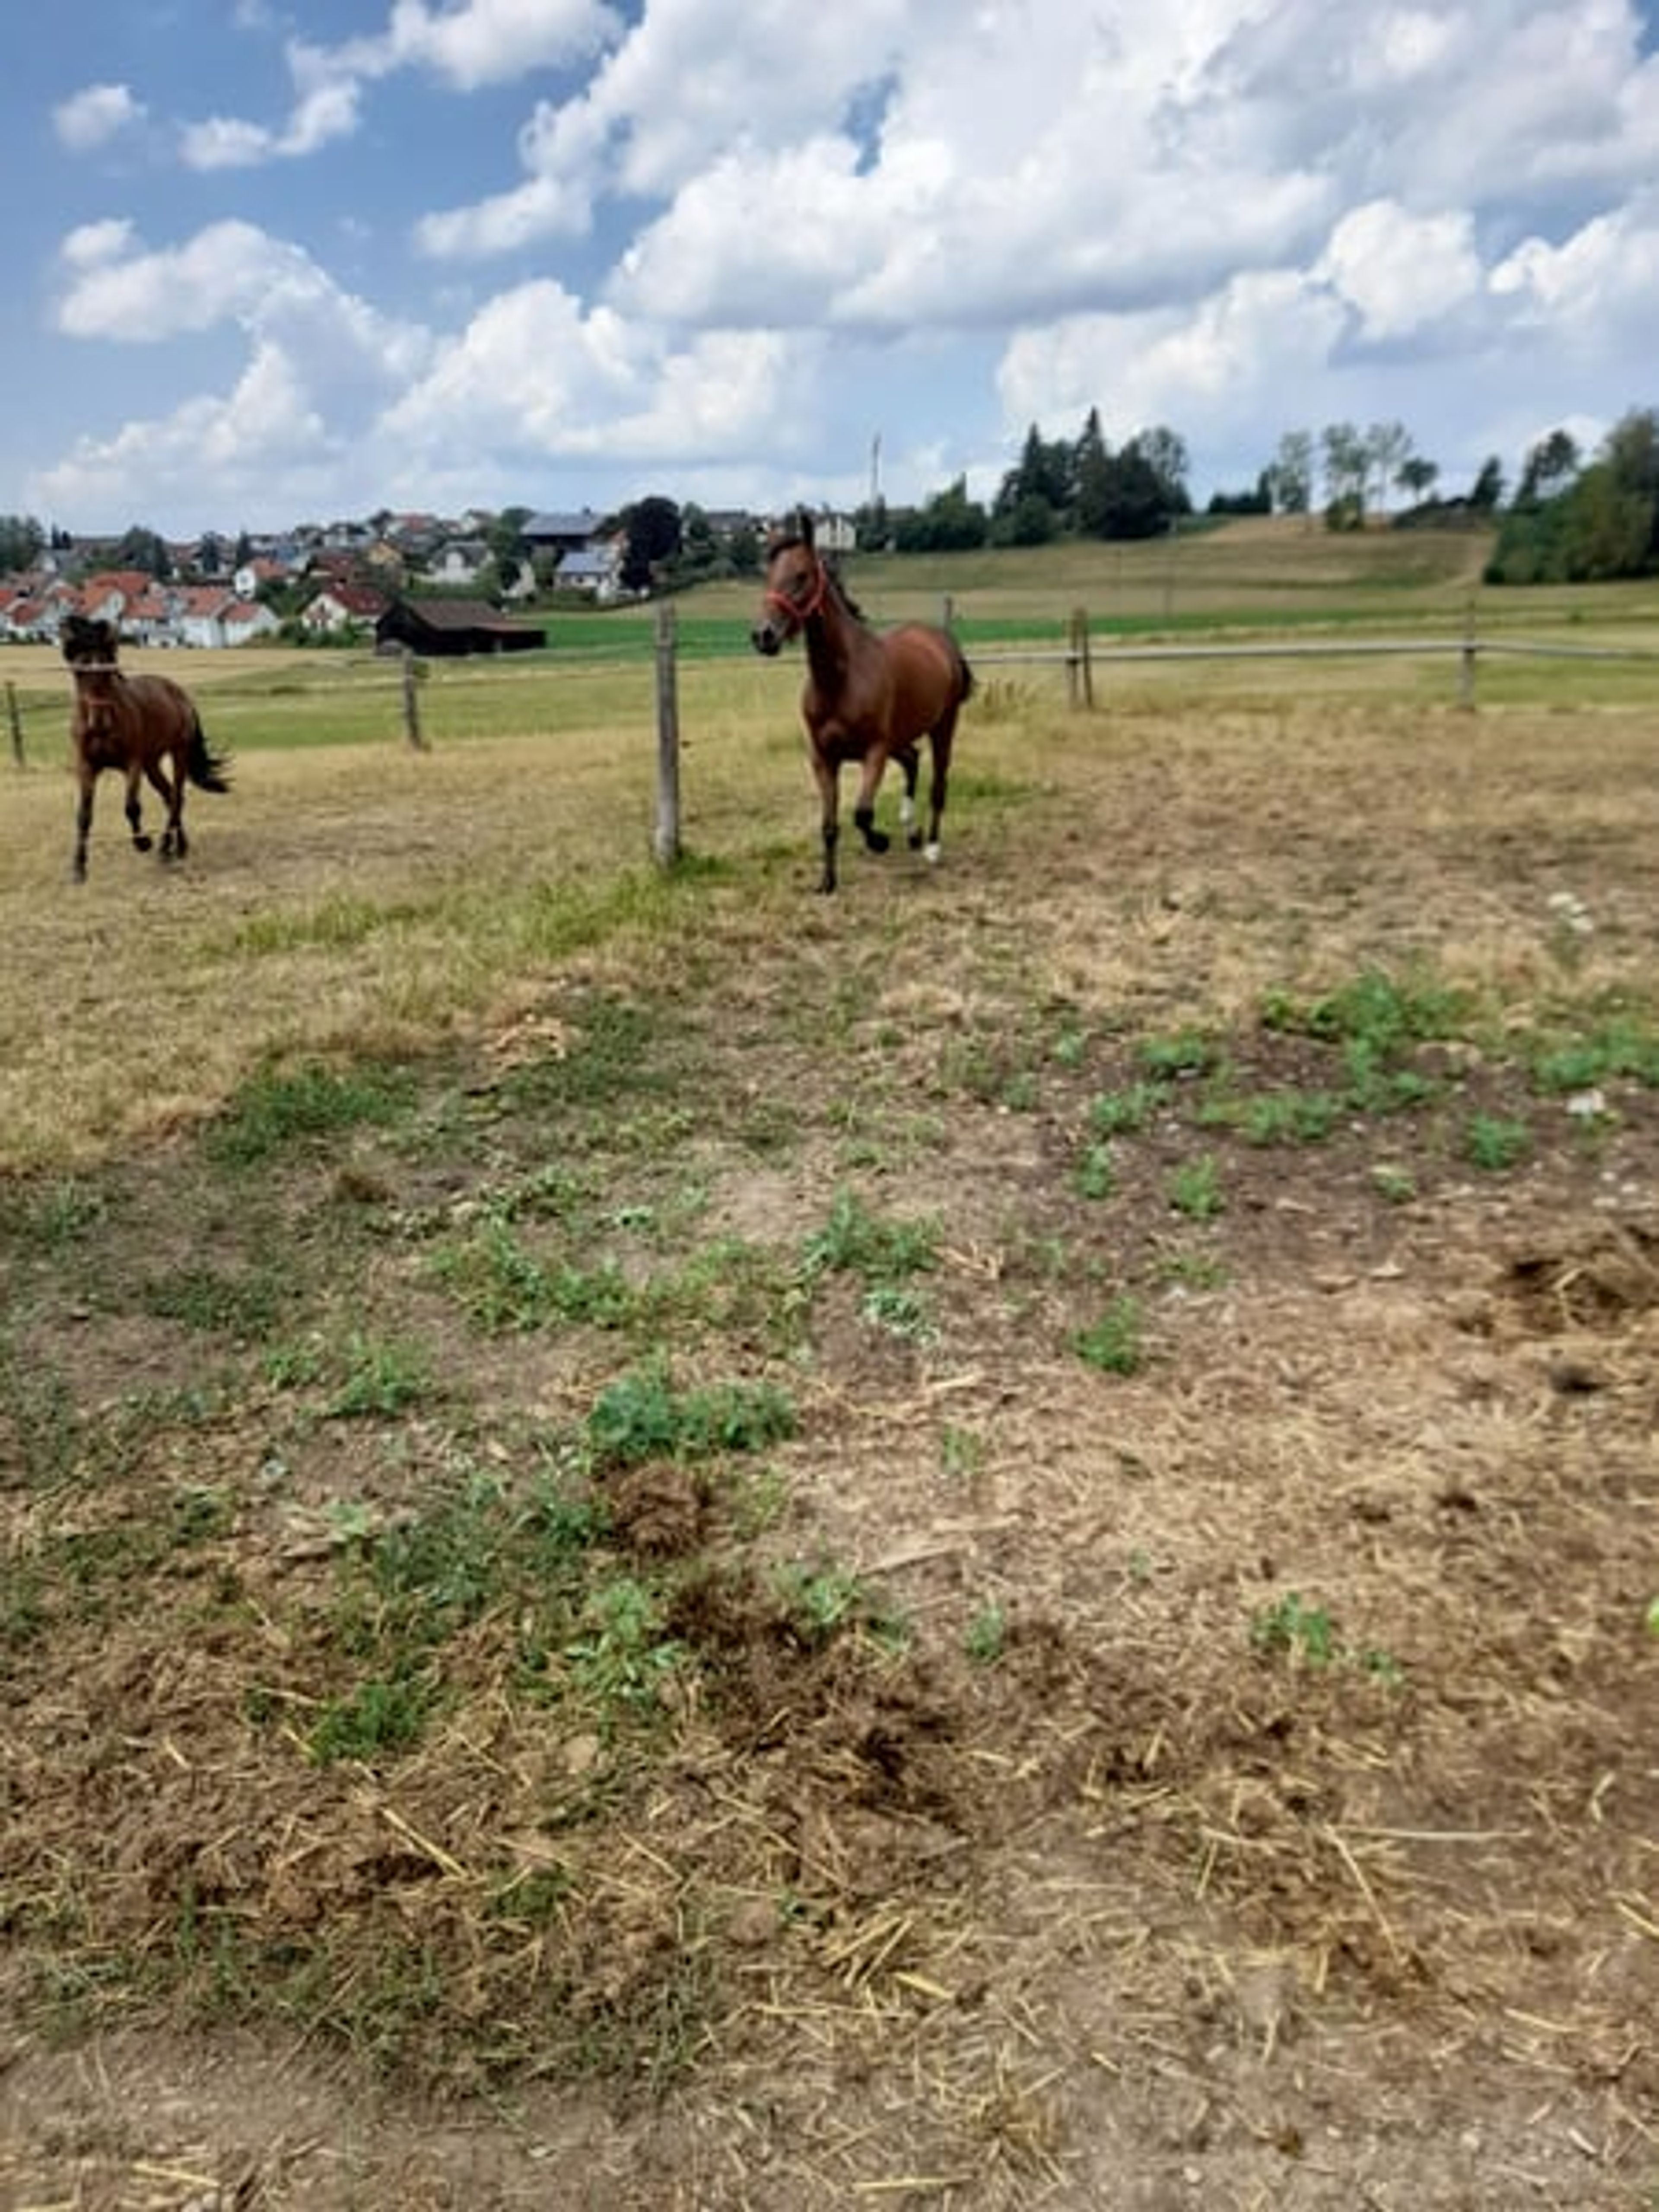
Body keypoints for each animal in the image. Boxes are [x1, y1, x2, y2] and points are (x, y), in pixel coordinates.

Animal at [61, 614, 231, 882]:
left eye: (109, 669)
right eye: (79, 672)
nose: (99, 721)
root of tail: (179, 693)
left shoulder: (133, 764)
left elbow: (132, 807)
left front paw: (143, 843)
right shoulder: (87, 767)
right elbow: (84, 816)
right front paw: (79, 869)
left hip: (178, 753)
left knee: (176, 797)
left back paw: (163, 848)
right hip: (152, 764)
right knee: (171, 796)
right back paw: (178, 848)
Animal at [751, 510, 972, 893]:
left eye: (802, 575)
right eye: (769, 574)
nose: (764, 636)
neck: (840, 681)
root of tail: (941, 640)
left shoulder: (874, 752)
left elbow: (862, 814)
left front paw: (880, 841)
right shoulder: (824, 759)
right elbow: (829, 825)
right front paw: (827, 882)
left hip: (943, 726)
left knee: (938, 782)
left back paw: (931, 846)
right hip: (900, 737)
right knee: (913, 759)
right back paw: (911, 831)